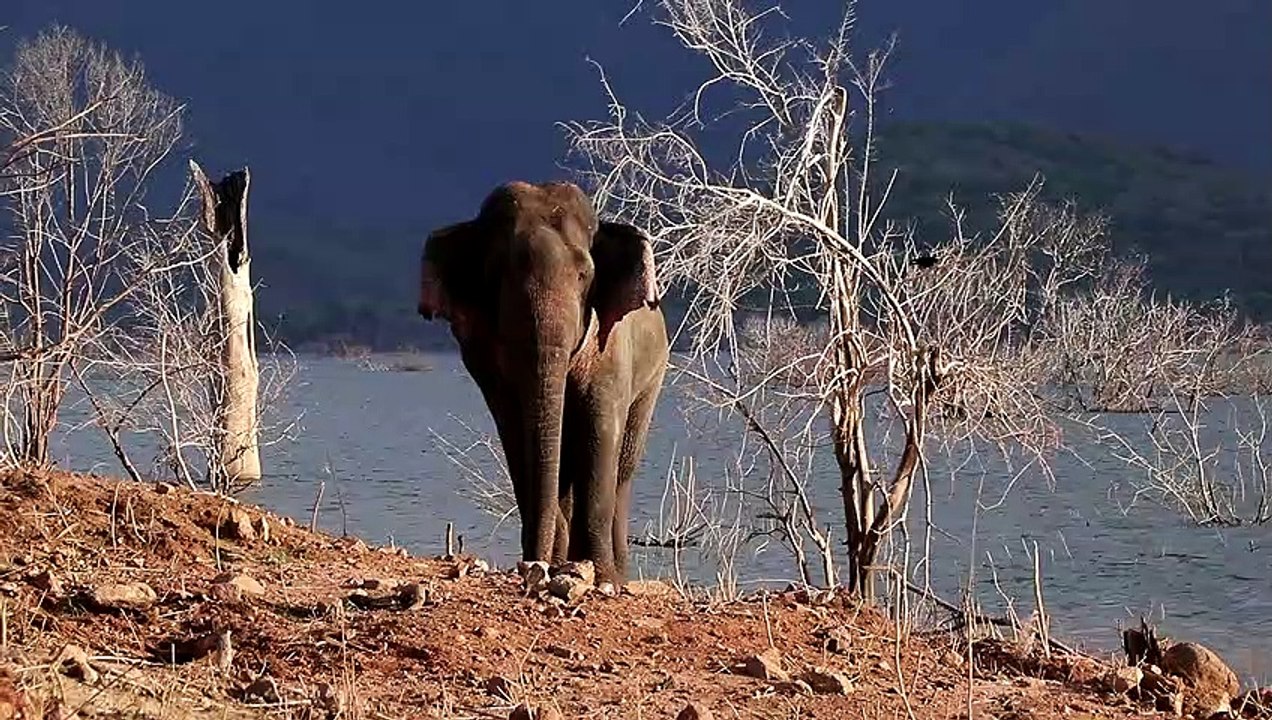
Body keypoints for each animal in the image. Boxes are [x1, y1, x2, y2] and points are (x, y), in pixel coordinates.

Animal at [417, 180, 669, 585]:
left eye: (584, 276)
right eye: (494, 275)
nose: (534, 565)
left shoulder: (612, 350)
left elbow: (600, 428)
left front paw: (602, 578)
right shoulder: (484, 358)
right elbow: (514, 431)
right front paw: (558, 562)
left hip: (652, 379)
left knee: (623, 469)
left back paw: (614, 572)